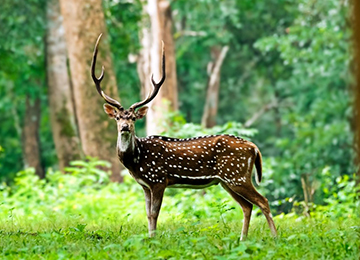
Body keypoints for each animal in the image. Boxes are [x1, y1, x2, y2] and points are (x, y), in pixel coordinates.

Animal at [91, 34, 278, 240]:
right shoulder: (145, 184)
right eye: (118, 117)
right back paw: (242, 239)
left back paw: (275, 238)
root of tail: (254, 148)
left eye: (132, 117)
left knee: (263, 201)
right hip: (227, 180)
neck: (136, 160)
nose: (125, 127)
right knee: (247, 206)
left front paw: (154, 239)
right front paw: (149, 238)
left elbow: (154, 213)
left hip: (236, 175)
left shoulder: (159, 179)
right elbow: (147, 213)